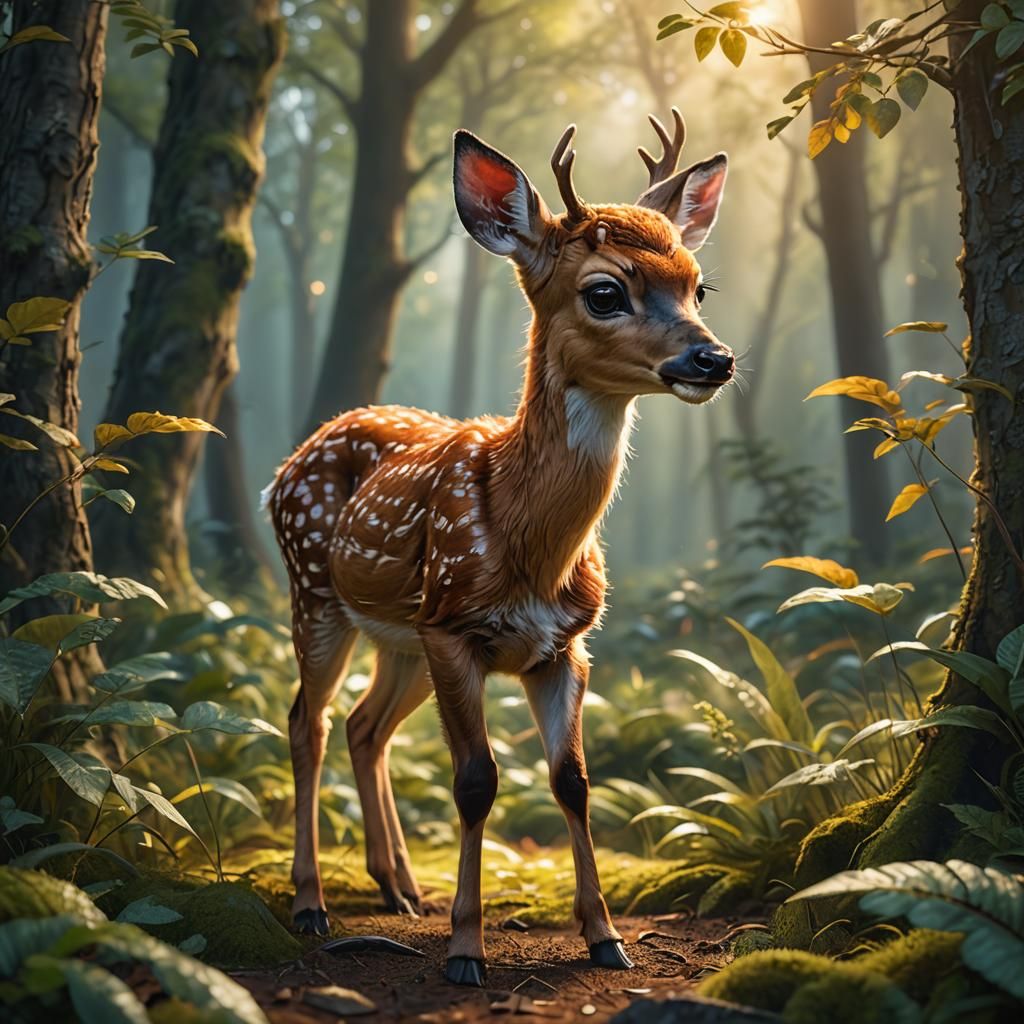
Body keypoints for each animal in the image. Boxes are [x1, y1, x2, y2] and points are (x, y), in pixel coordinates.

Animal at [264, 108, 733, 987]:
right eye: (606, 291)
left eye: (697, 284)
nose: (713, 358)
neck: (532, 548)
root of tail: (289, 463)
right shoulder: (456, 630)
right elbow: (476, 781)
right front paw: (465, 948)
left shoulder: (563, 645)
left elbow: (572, 781)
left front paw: (605, 937)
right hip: (315, 590)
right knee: (308, 720)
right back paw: (311, 903)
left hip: (401, 638)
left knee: (364, 726)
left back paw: (399, 887)